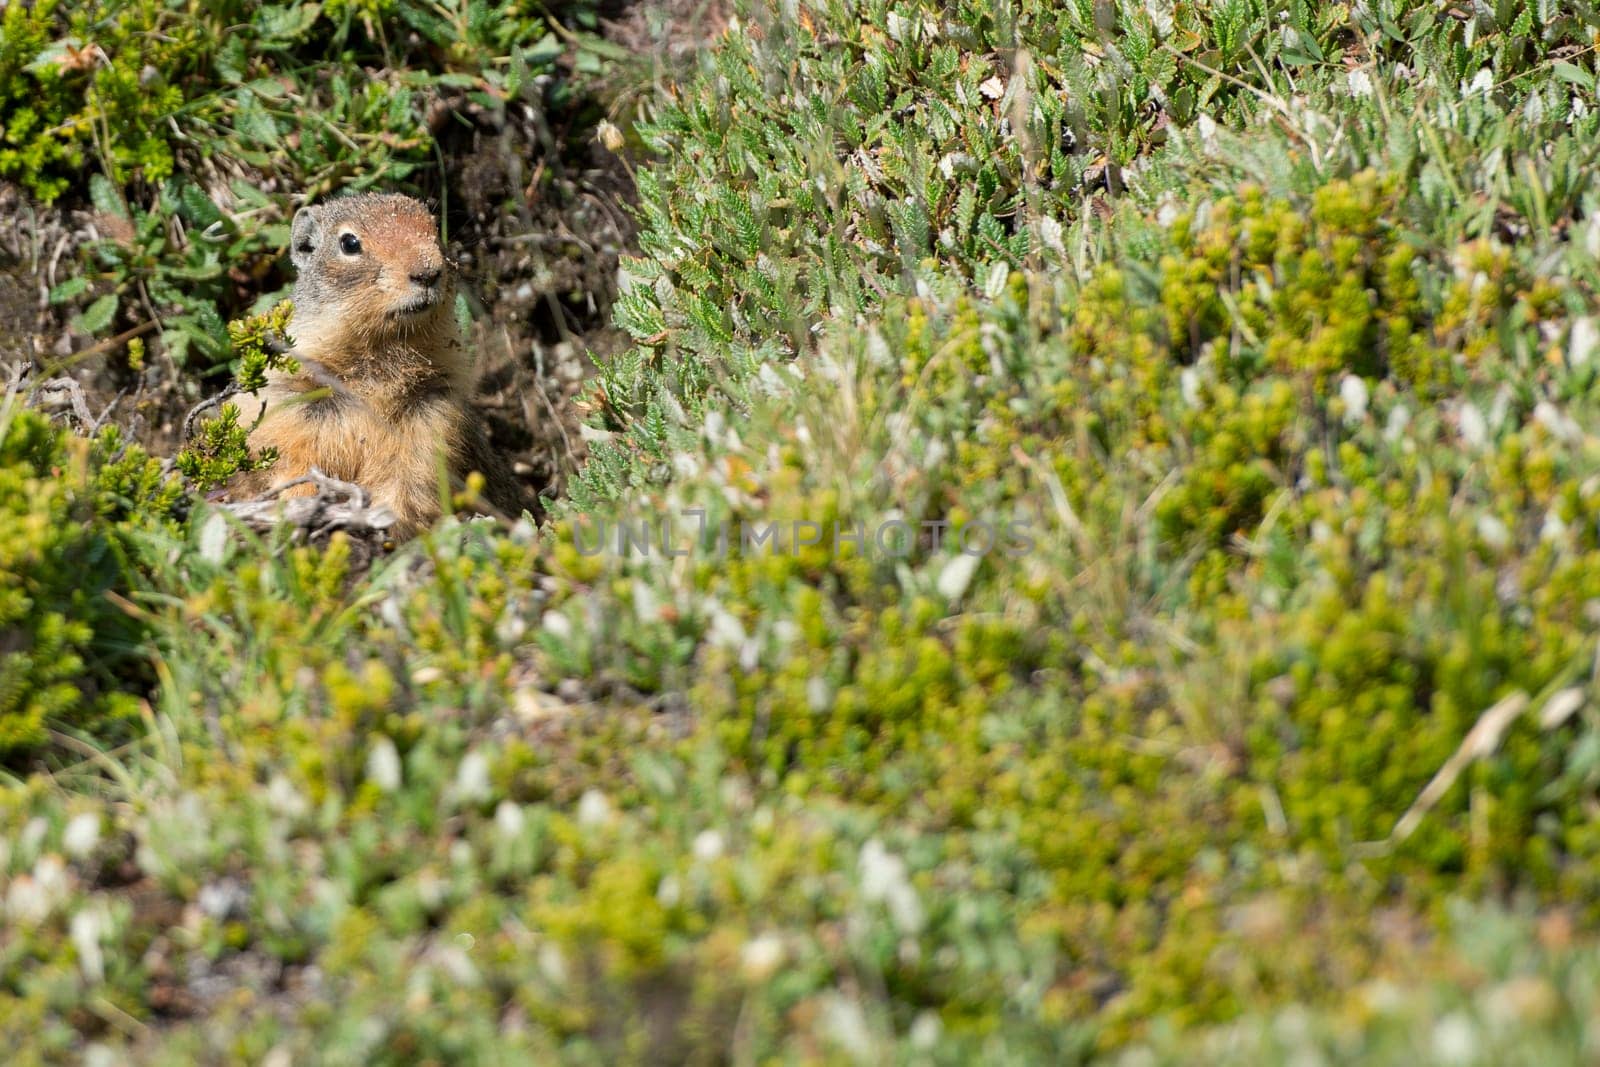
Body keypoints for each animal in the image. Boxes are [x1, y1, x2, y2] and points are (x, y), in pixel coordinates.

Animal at [227, 194, 531, 534]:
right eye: (349, 243)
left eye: (435, 227)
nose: (427, 272)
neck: (377, 365)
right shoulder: (291, 411)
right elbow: (297, 468)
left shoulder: (432, 416)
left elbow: (409, 485)